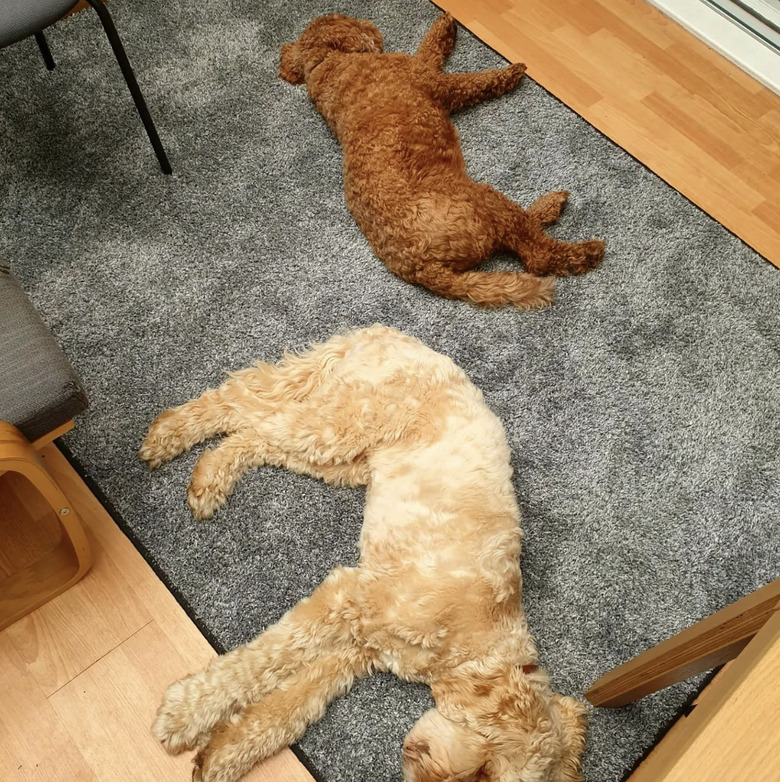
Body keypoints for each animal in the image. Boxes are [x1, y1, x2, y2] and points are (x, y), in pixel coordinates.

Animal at [140, 326, 584, 782]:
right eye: (484, 771)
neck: (475, 636)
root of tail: (396, 335)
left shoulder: (360, 648)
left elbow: (293, 702)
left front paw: (224, 754)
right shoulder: (349, 597)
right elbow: (264, 660)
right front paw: (185, 712)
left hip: (339, 459)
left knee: (254, 435)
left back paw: (211, 476)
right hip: (337, 427)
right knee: (244, 403)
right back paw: (169, 433)